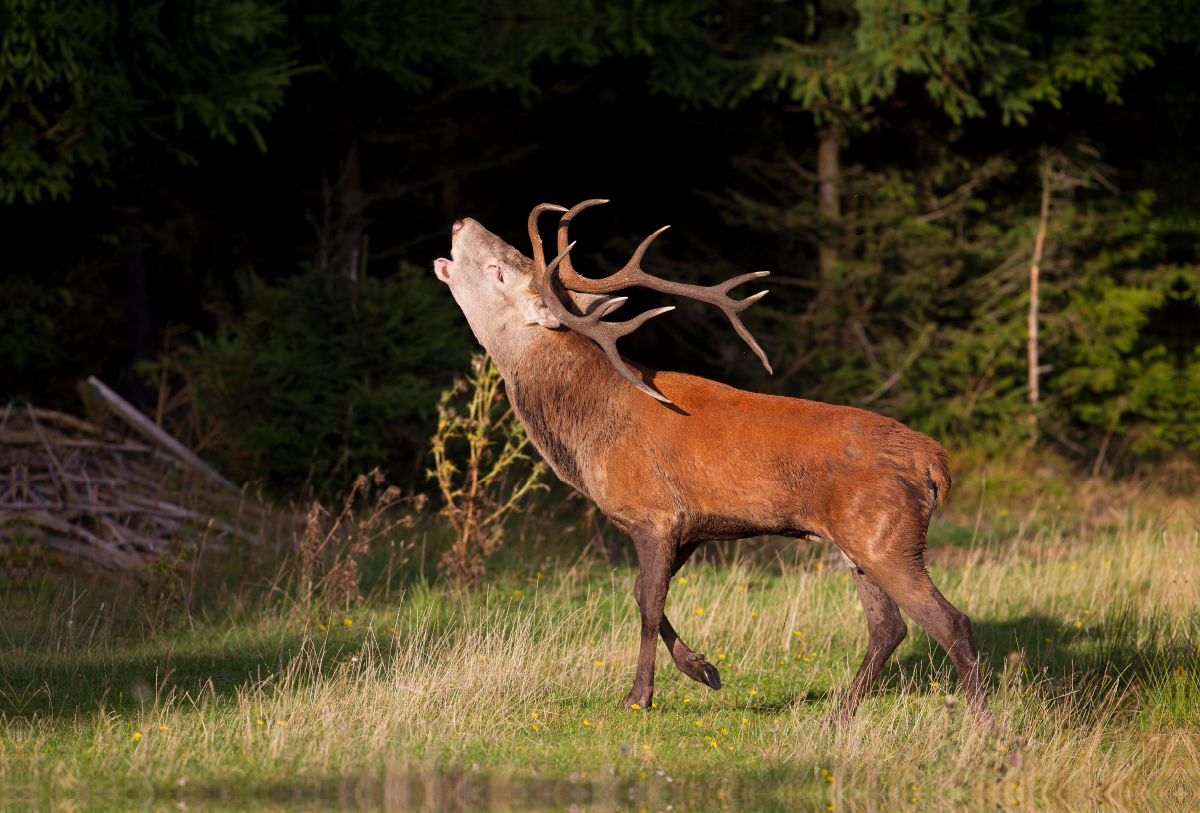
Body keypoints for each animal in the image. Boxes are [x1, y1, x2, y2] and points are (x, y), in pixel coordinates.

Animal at [432, 200, 993, 729]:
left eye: (499, 270)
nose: (458, 222)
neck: (588, 432)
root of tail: (934, 464)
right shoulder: (693, 527)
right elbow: (643, 595)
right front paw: (703, 668)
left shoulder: (654, 514)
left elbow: (647, 602)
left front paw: (639, 697)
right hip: (861, 543)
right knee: (889, 627)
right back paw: (837, 715)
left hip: (886, 535)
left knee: (951, 622)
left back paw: (985, 728)